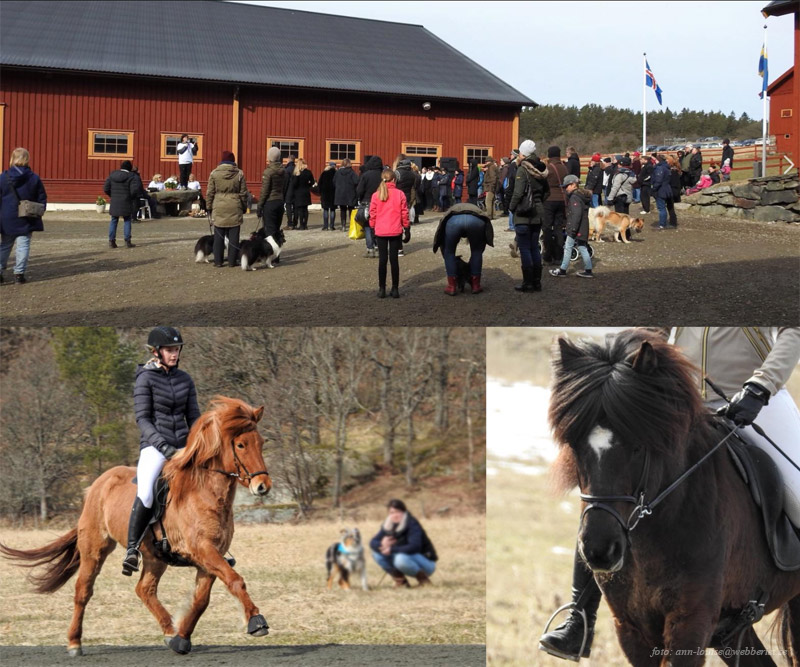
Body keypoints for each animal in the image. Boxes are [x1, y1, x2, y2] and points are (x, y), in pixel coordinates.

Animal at [0, 396, 272, 656]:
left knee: (144, 590)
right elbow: (235, 581)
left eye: (261, 443)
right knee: (83, 591)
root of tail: (97, 485)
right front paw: (256, 621)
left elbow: (201, 599)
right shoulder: (203, 549)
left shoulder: (210, 556)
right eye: (240, 445)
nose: (262, 486)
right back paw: (74, 643)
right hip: (95, 549)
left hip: (155, 558)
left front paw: (181, 638)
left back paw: (169, 631)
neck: (205, 492)